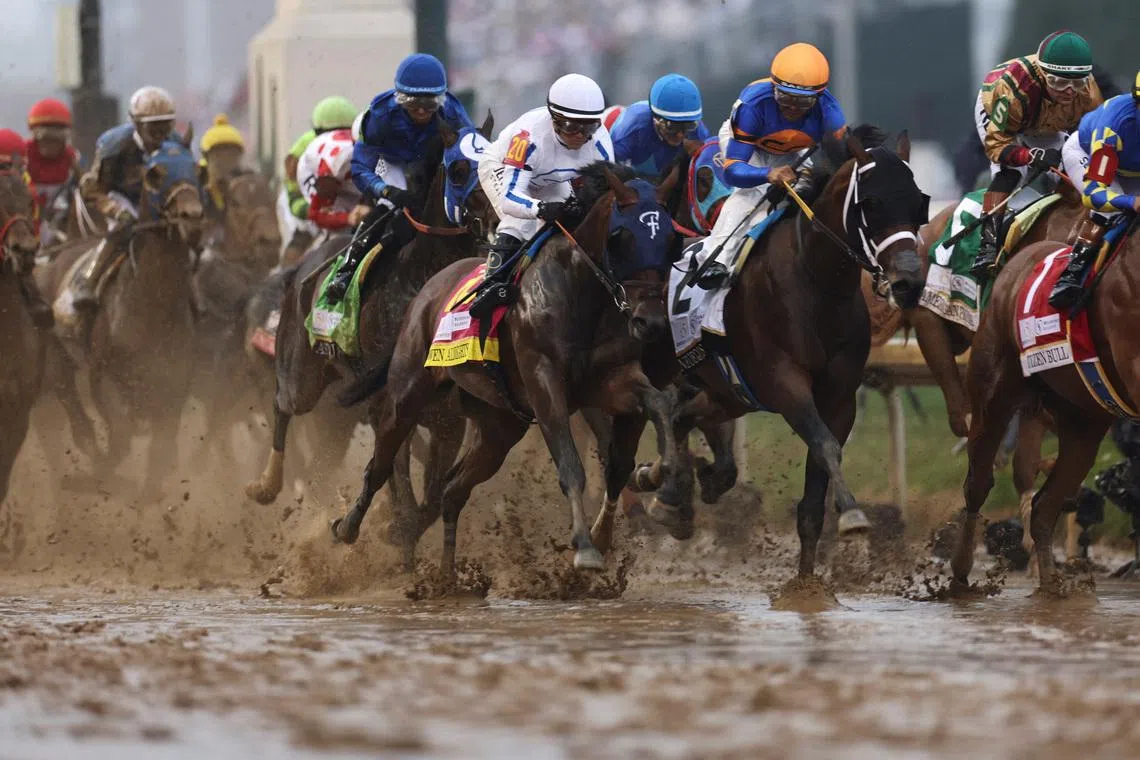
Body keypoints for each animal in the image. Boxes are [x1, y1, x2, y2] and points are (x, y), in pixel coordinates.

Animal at [37, 138, 204, 497]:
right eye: (155, 174)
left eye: (197, 169)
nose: (192, 218)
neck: (152, 303)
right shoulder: (103, 376)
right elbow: (122, 440)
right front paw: (95, 477)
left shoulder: (172, 388)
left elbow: (160, 456)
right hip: (57, 359)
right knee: (75, 414)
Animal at [244, 116, 497, 521]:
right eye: (459, 169)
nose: (495, 218)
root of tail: (299, 270)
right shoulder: (387, 403)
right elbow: (397, 473)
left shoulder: (446, 415)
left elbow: (427, 490)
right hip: (302, 376)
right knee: (283, 404)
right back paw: (267, 485)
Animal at [327, 162, 681, 577]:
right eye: (620, 237)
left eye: (671, 239)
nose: (650, 322)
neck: (581, 294)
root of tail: (431, 286)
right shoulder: (544, 383)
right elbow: (570, 465)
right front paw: (585, 546)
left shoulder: (612, 379)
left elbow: (656, 406)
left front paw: (657, 475)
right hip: (410, 389)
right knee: (381, 463)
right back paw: (349, 528)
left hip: (501, 423)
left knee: (453, 489)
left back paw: (447, 577)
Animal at [633, 126, 928, 579]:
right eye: (872, 203)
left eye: (918, 203)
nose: (908, 283)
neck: (817, 282)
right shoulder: (786, 383)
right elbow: (825, 446)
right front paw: (853, 515)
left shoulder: (839, 395)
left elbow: (816, 491)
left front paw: (807, 583)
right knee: (659, 416)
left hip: (726, 391)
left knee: (684, 420)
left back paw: (678, 487)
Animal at [950, 226, 1140, 593]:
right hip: (993, 398)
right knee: (977, 484)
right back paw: (961, 572)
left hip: (1082, 424)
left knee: (1043, 507)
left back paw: (1051, 586)